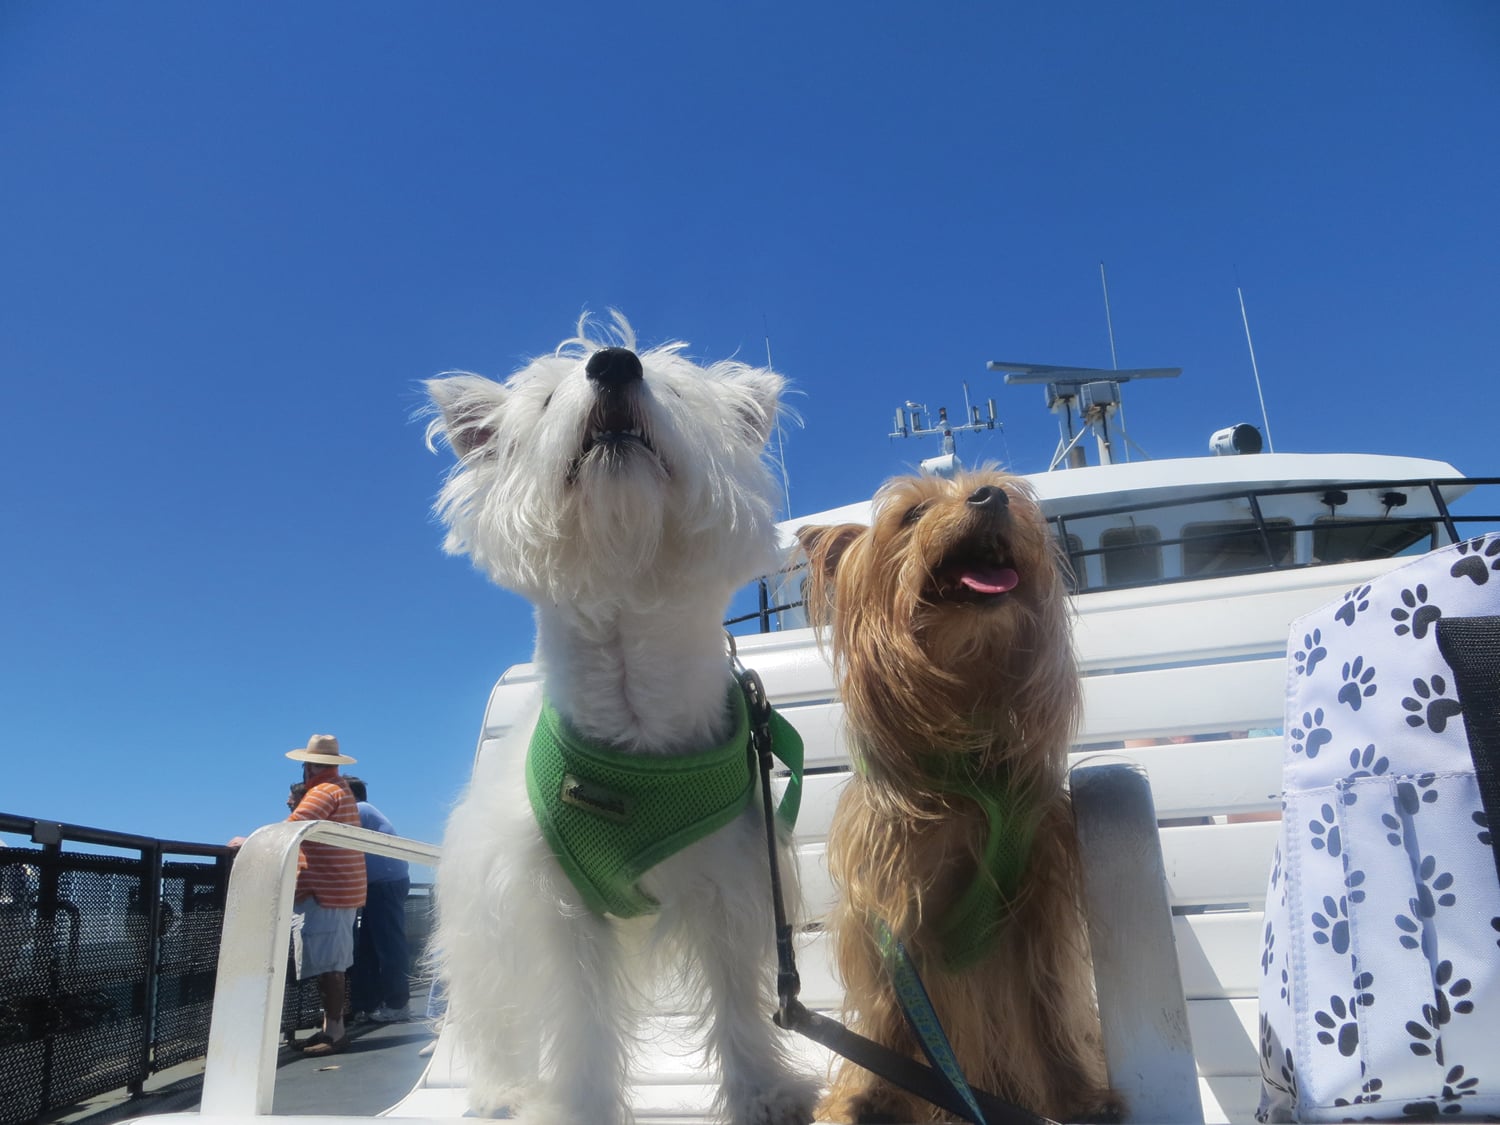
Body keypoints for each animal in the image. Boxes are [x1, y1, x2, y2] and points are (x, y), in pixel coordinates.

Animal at [423, 315, 822, 1125]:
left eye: (676, 392)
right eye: (547, 400)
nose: (612, 362)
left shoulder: (733, 879)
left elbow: (737, 997)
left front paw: (763, 1092)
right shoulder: (558, 909)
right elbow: (580, 1021)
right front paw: (581, 1107)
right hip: (483, 930)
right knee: (495, 1015)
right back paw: (503, 1090)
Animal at [804, 468, 1122, 1125]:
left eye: (1001, 488)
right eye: (912, 514)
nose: (991, 498)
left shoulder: (1039, 901)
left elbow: (1048, 1000)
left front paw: (1077, 1096)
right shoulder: (892, 904)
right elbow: (892, 1013)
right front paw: (870, 1097)